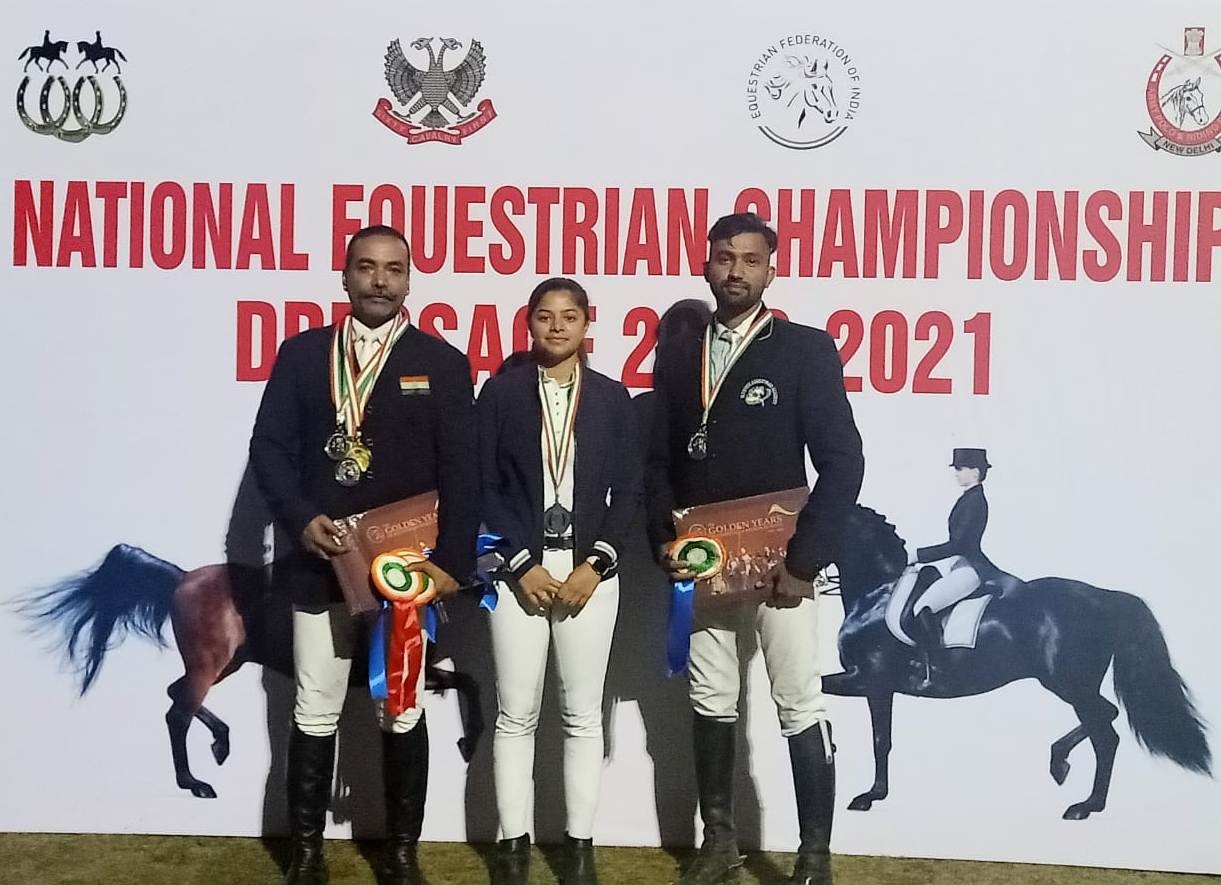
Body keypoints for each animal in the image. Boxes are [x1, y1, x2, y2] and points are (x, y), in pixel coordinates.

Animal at [18, 544, 484, 799]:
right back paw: (195, 783)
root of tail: (181, 578)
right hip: (210, 663)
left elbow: (468, 682)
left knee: (176, 693)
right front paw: (466, 743)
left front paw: (466, 743)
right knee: (177, 712)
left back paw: (221, 744)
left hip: (227, 662)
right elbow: (467, 683)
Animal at [822, 506, 1211, 820]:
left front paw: (869, 796)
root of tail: (1107, 597)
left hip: (1068, 683)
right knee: (1107, 718)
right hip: (1073, 685)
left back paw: (1084, 804)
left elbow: (879, 739)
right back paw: (1063, 766)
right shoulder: (869, 683)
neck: (875, 593)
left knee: (1105, 732)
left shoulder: (871, 680)